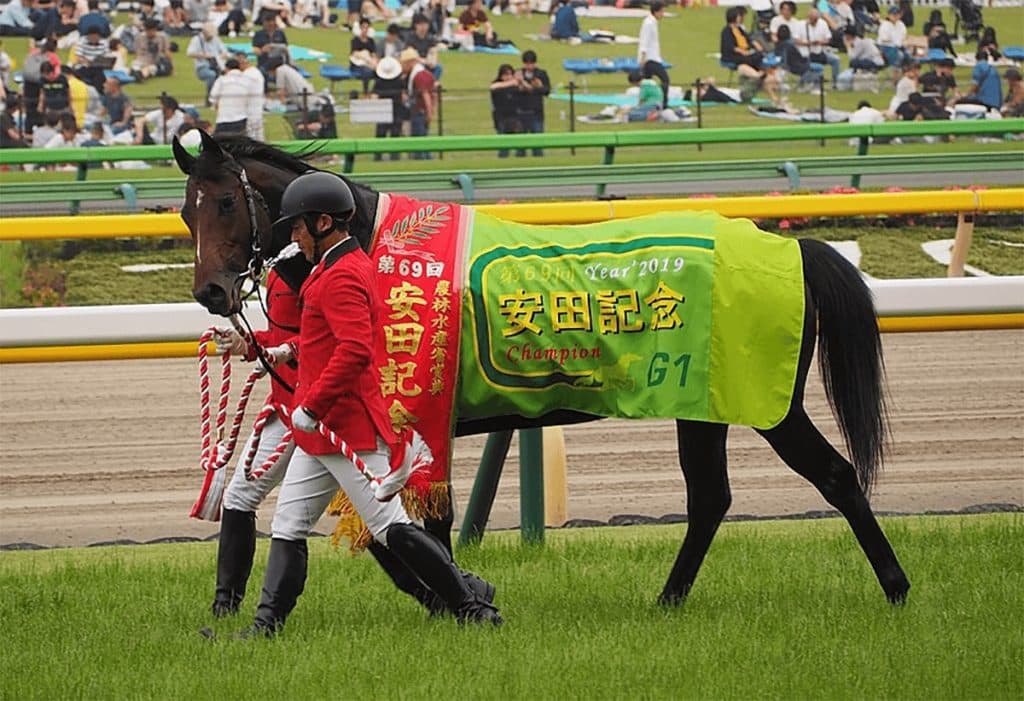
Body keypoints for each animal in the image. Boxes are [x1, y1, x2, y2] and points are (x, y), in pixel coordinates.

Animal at [172, 131, 911, 606]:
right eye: (185, 209)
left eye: (228, 202)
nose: (211, 292)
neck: (374, 247)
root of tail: (791, 250)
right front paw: (452, 593)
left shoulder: (412, 414)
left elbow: (413, 524)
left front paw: (458, 594)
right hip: (703, 408)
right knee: (711, 499)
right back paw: (667, 600)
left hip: (765, 404)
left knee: (834, 476)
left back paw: (897, 589)